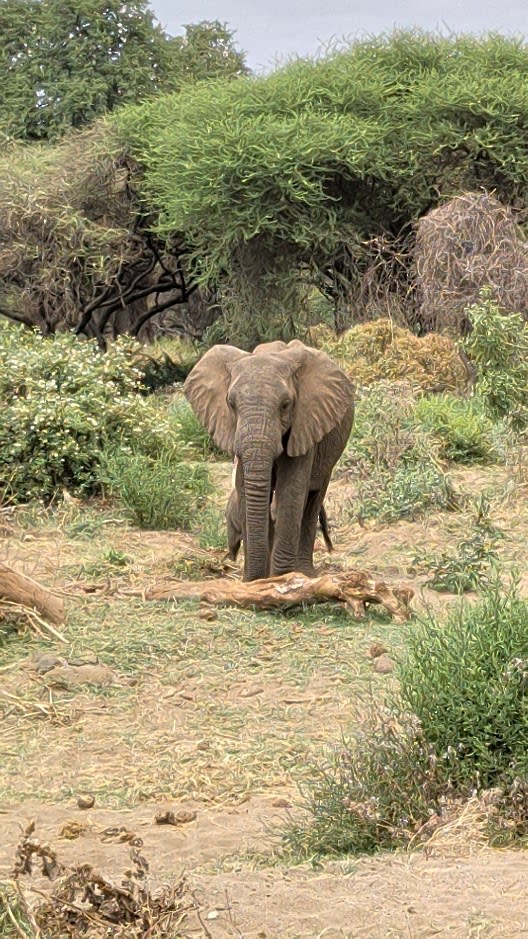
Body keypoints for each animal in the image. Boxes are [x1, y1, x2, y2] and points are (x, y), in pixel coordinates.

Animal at [184, 339, 354, 582]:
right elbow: (245, 488)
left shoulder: (306, 422)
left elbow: (291, 489)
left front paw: (283, 578)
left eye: (285, 405)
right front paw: (255, 582)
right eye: (230, 404)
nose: (253, 578)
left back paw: (305, 573)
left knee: (313, 499)